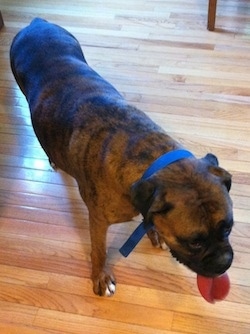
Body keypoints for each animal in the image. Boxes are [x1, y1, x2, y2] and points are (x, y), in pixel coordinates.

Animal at [9, 17, 232, 294]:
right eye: (195, 242)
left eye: (228, 229)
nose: (225, 262)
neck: (148, 157)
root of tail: (37, 22)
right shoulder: (98, 221)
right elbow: (99, 251)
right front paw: (100, 277)